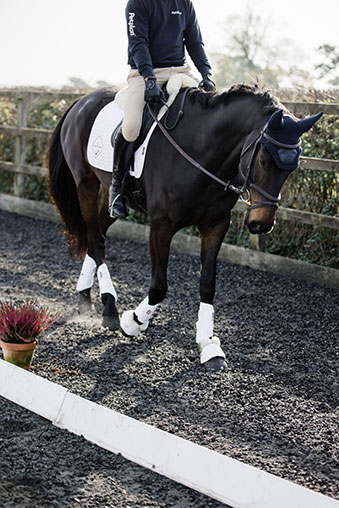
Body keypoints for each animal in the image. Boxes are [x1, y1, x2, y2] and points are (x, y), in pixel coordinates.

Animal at [46, 82, 322, 370]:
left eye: (293, 167)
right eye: (264, 161)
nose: (261, 224)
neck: (202, 153)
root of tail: (81, 101)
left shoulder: (216, 224)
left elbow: (208, 283)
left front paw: (209, 345)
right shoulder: (161, 225)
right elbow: (159, 286)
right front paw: (134, 321)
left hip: (114, 201)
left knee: (96, 233)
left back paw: (84, 297)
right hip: (85, 183)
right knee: (97, 241)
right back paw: (110, 309)